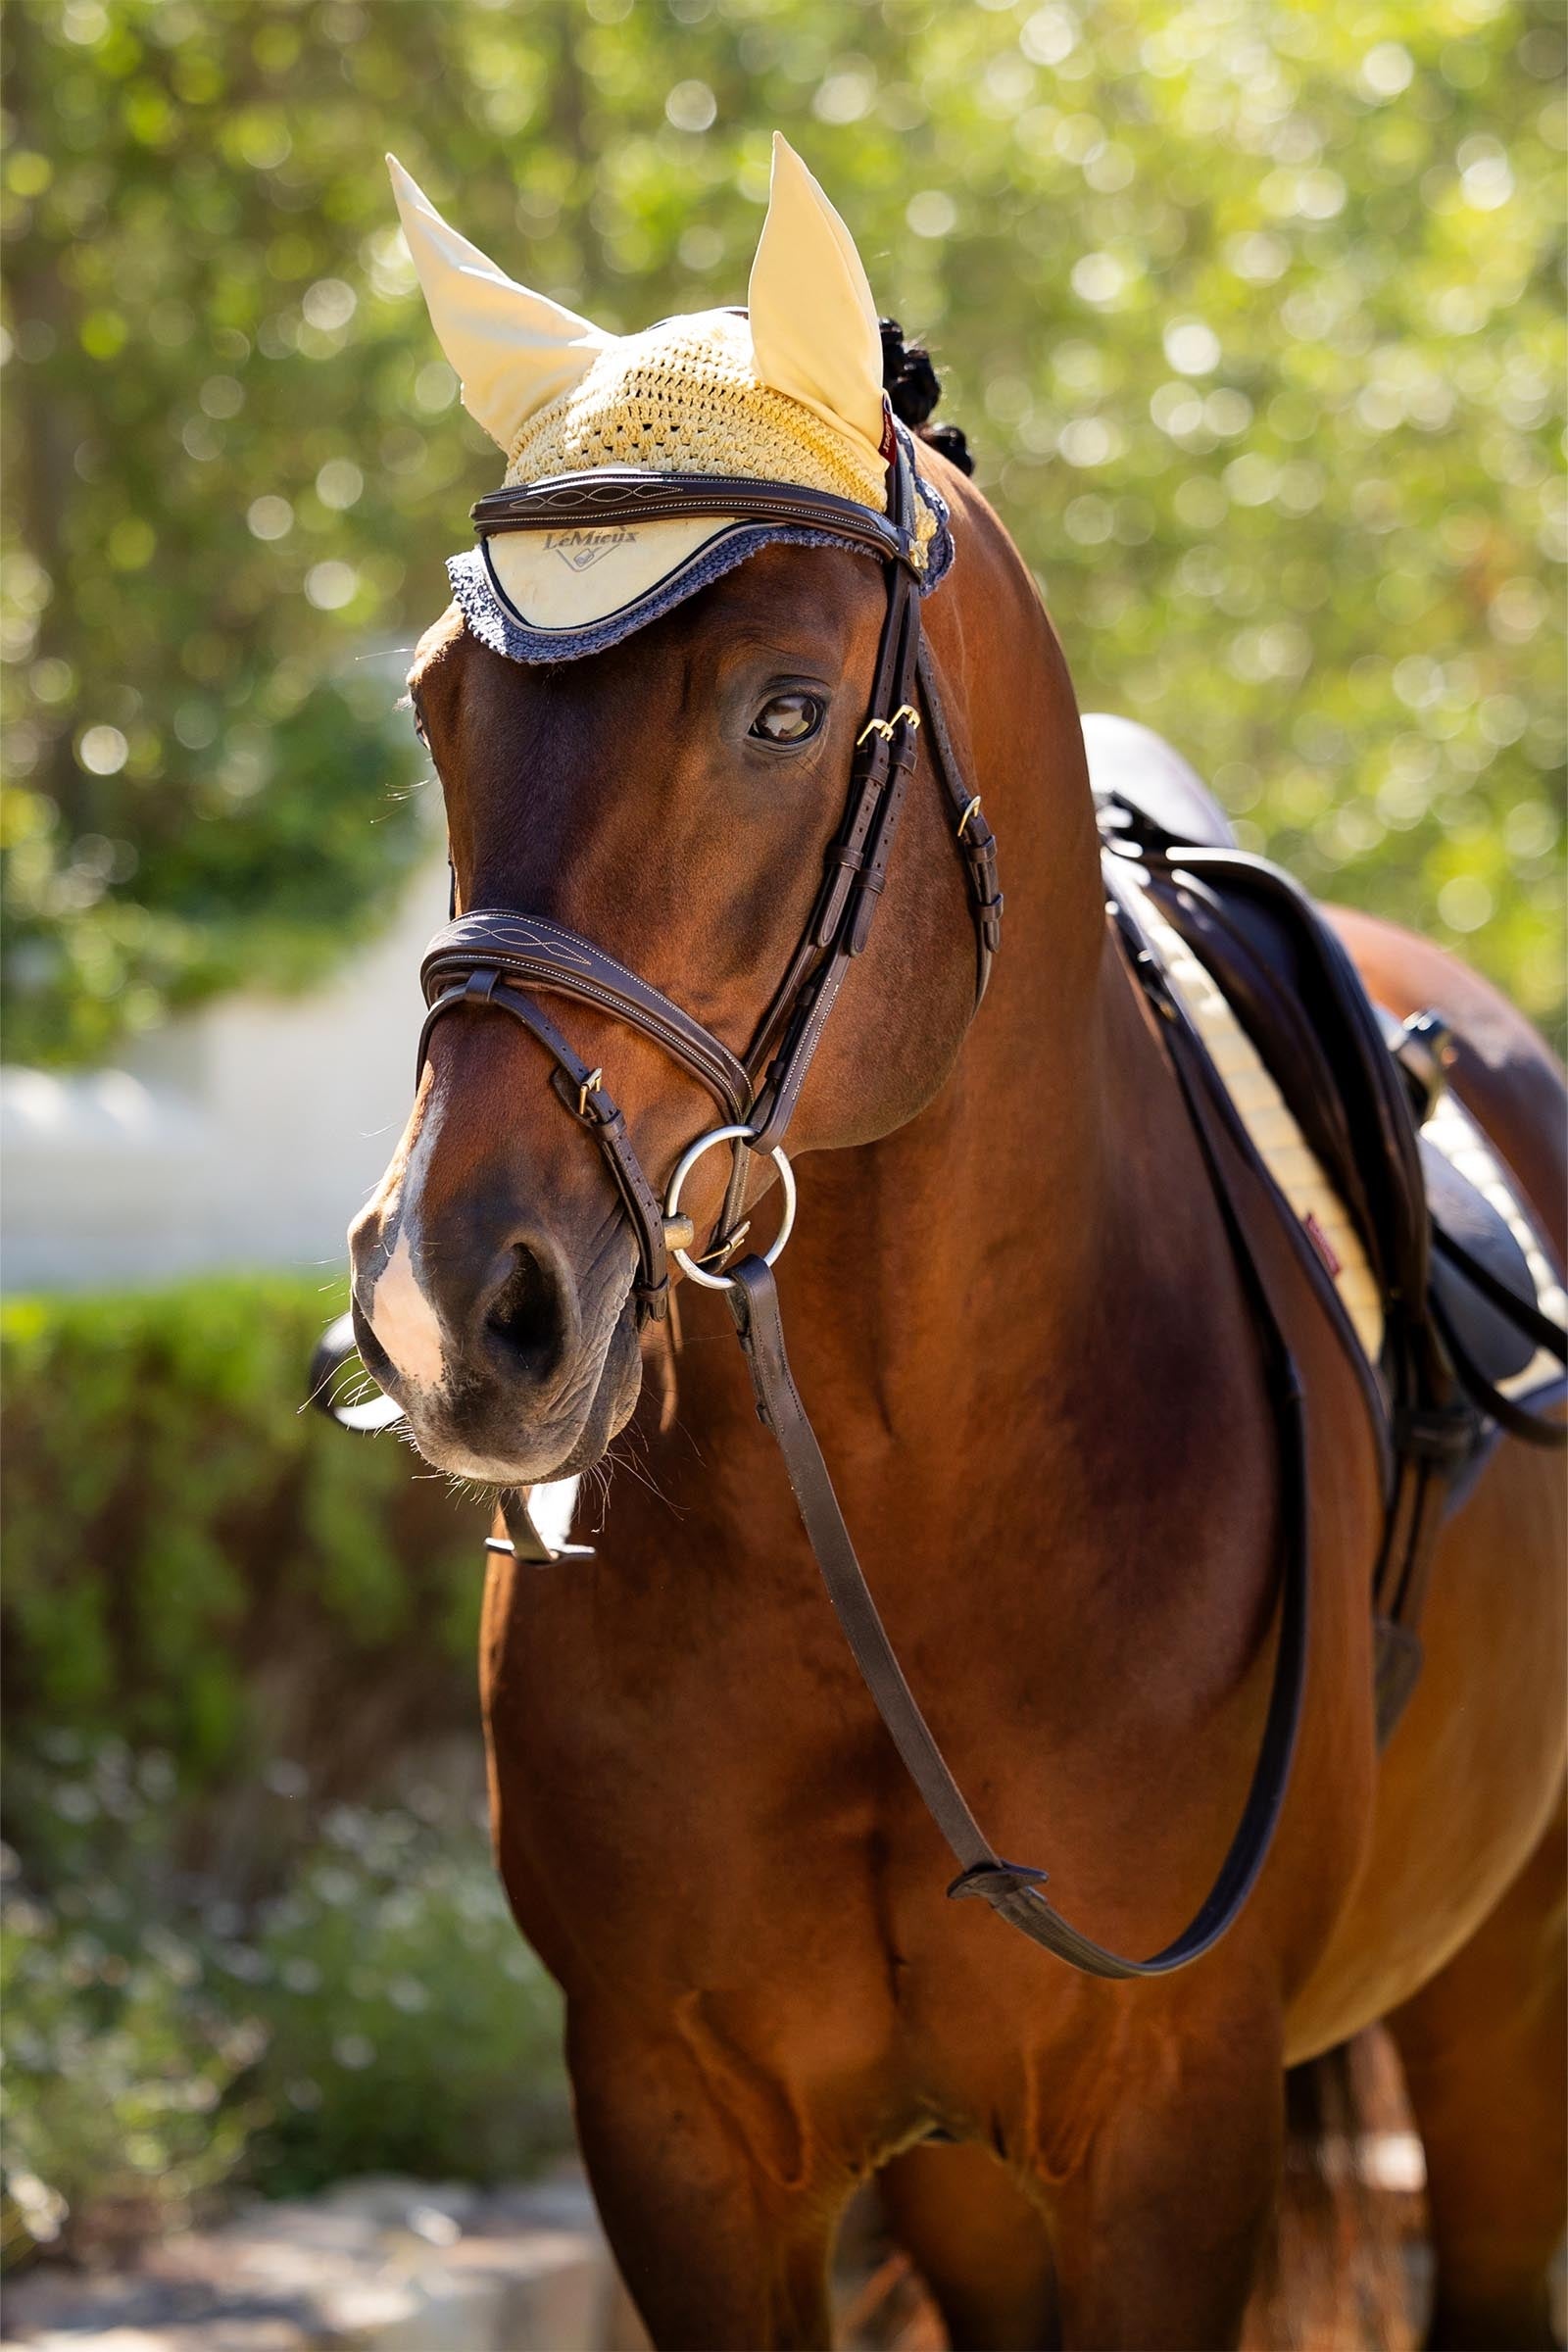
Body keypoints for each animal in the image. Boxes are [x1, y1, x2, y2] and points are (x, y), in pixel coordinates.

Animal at [345, 145, 1566, 2348]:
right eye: (435, 708)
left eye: (784, 710)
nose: (449, 1305)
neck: (918, 1498)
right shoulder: (681, 2128)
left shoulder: (1170, 2120)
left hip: (1509, 1987)